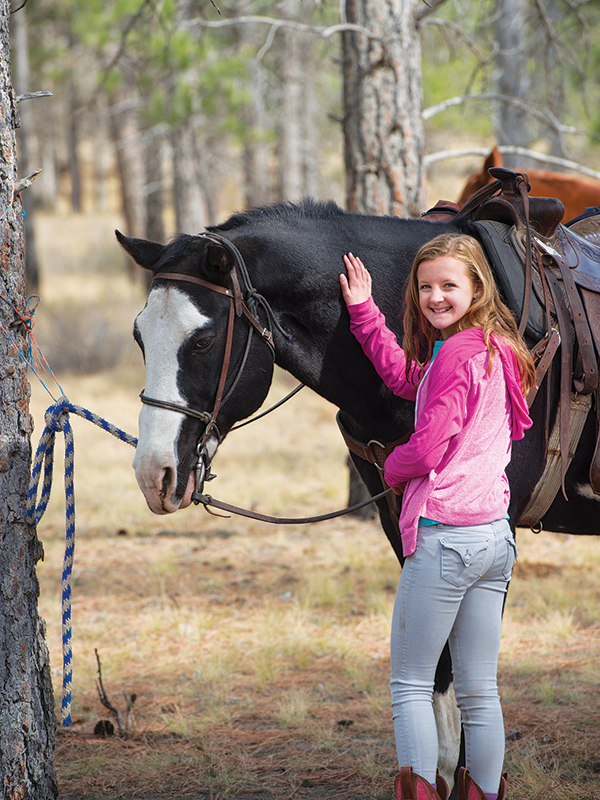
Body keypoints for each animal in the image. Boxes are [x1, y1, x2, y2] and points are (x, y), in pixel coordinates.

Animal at [116, 198, 600, 788]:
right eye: (140, 336)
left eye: (203, 340)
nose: (154, 472)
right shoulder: (403, 523)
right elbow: (437, 671)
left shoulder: (489, 529)